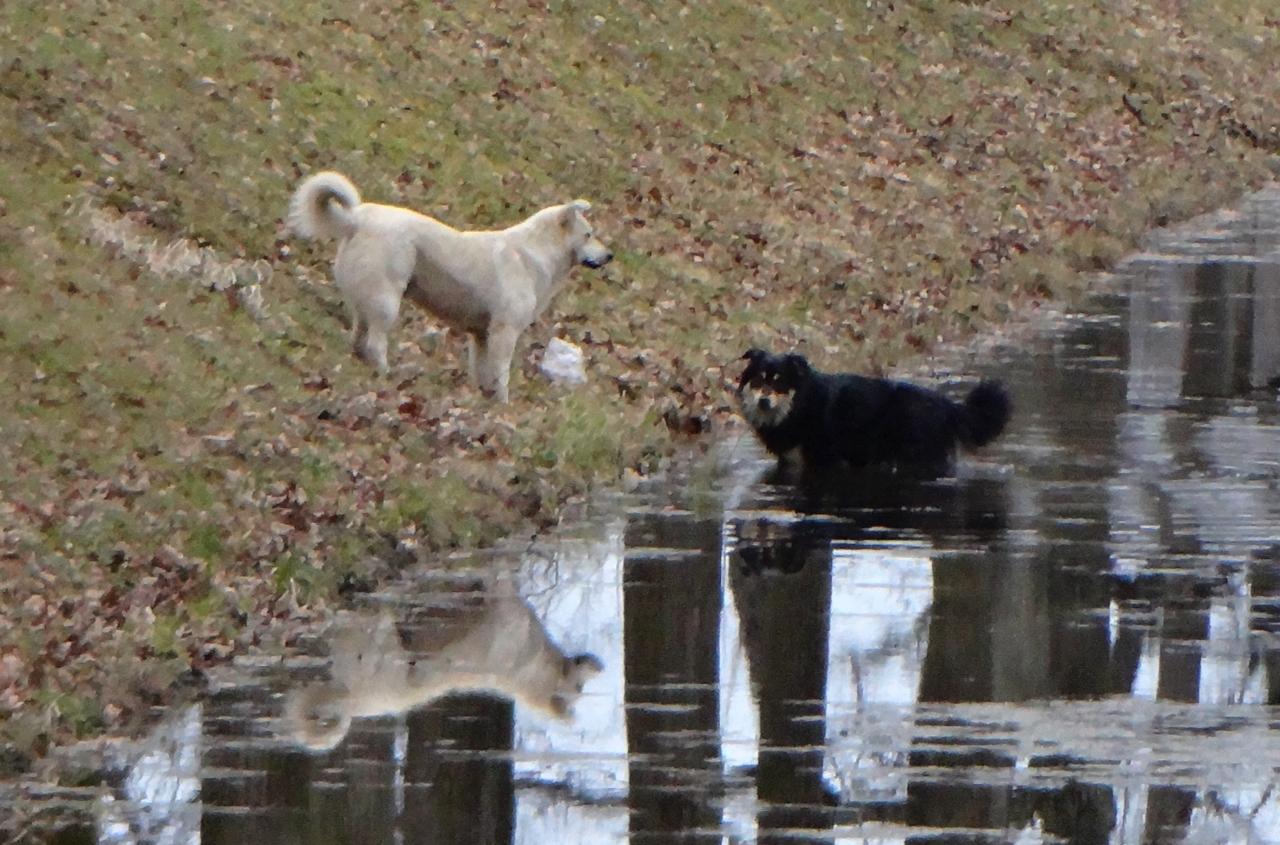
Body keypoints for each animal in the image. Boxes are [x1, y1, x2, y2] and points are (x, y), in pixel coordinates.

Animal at [288, 171, 612, 401]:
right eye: (588, 234)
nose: (610, 256)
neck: (534, 253)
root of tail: (357, 218)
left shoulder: (481, 335)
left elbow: (482, 373)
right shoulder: (504, 332)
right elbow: (501, 375)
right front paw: (502, 405)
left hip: (367, 300)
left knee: (358, 337)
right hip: (386, 300)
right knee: (375, 343)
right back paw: (386, 374)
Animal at [736, 349, 1011, 475]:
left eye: (780, 382)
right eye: (759, 381)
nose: (763, 402)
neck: (801, 403)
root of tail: (947, 404)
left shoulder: (824, 459)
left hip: (918, 453)